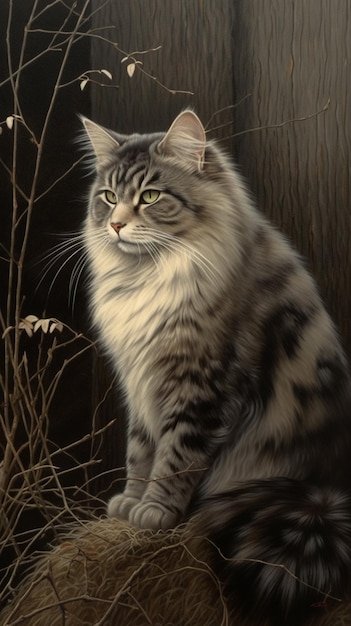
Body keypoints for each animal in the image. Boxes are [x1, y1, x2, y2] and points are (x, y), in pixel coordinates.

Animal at [81, 109, 351, 620]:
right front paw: (131, 502)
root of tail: (322, 491)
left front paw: (155, 512)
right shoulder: (139, 384)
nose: (117, 226)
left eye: (150, 196)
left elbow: (175, 457)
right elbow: (140, 450)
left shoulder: (201, 385)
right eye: (108, 197)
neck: (148, 276)